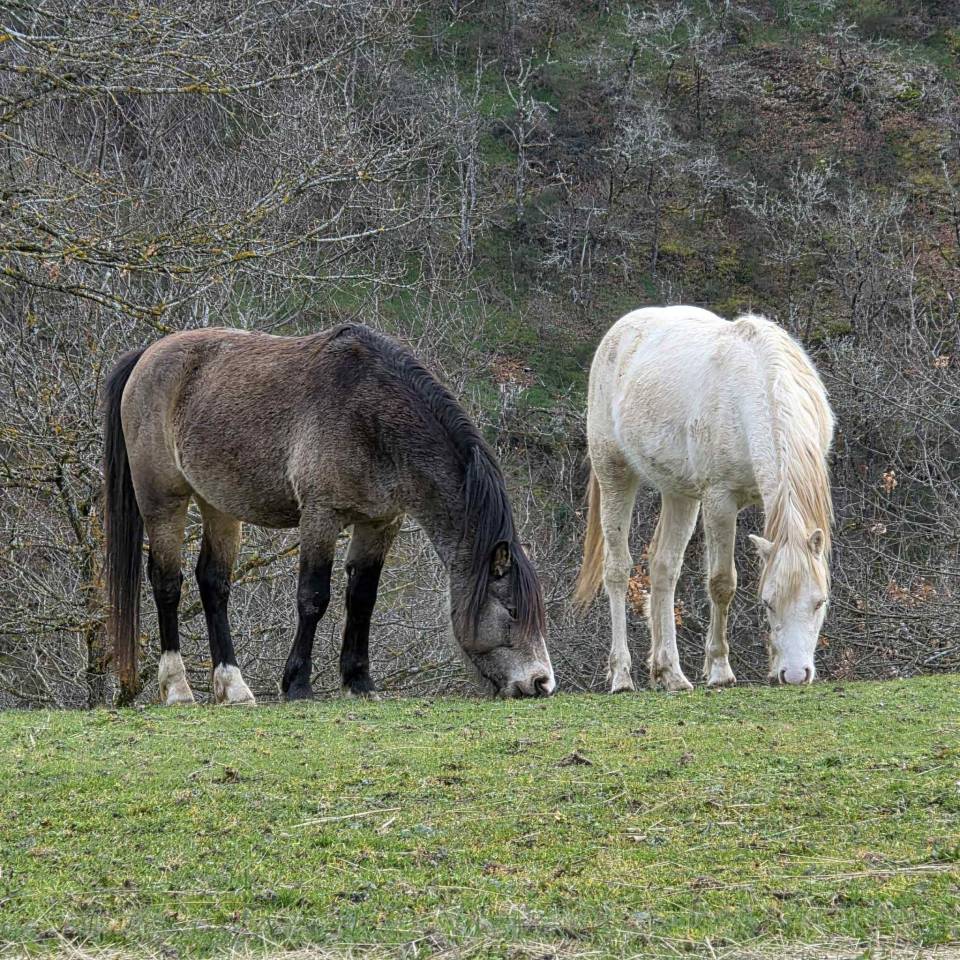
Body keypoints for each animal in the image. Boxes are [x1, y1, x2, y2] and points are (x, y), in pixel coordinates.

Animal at [103, 323, 555, 705]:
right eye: (512, 610)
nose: (542, 682)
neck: (372, 415)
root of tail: (148, 355)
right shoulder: (321, 516)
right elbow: (313, 598)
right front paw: (297, 684)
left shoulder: (380, 523)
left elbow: (362, 599)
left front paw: (359, 682)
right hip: (163, 499)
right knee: (167, 583)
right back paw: (177, 689)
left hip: (217, 504)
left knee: (213, 584)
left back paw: (233, 687)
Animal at [574, 306, 834, 692]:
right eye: (768, 603)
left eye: (819, 603)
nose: (795, 674)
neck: (757, 384)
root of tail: (620, 331)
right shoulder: (719, 501)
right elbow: (722, 583)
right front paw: (720, 670)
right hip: (614, 475)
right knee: (617, 571)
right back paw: (622, 675)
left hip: (679, 493)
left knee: (664, 567)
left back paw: (670, 673)